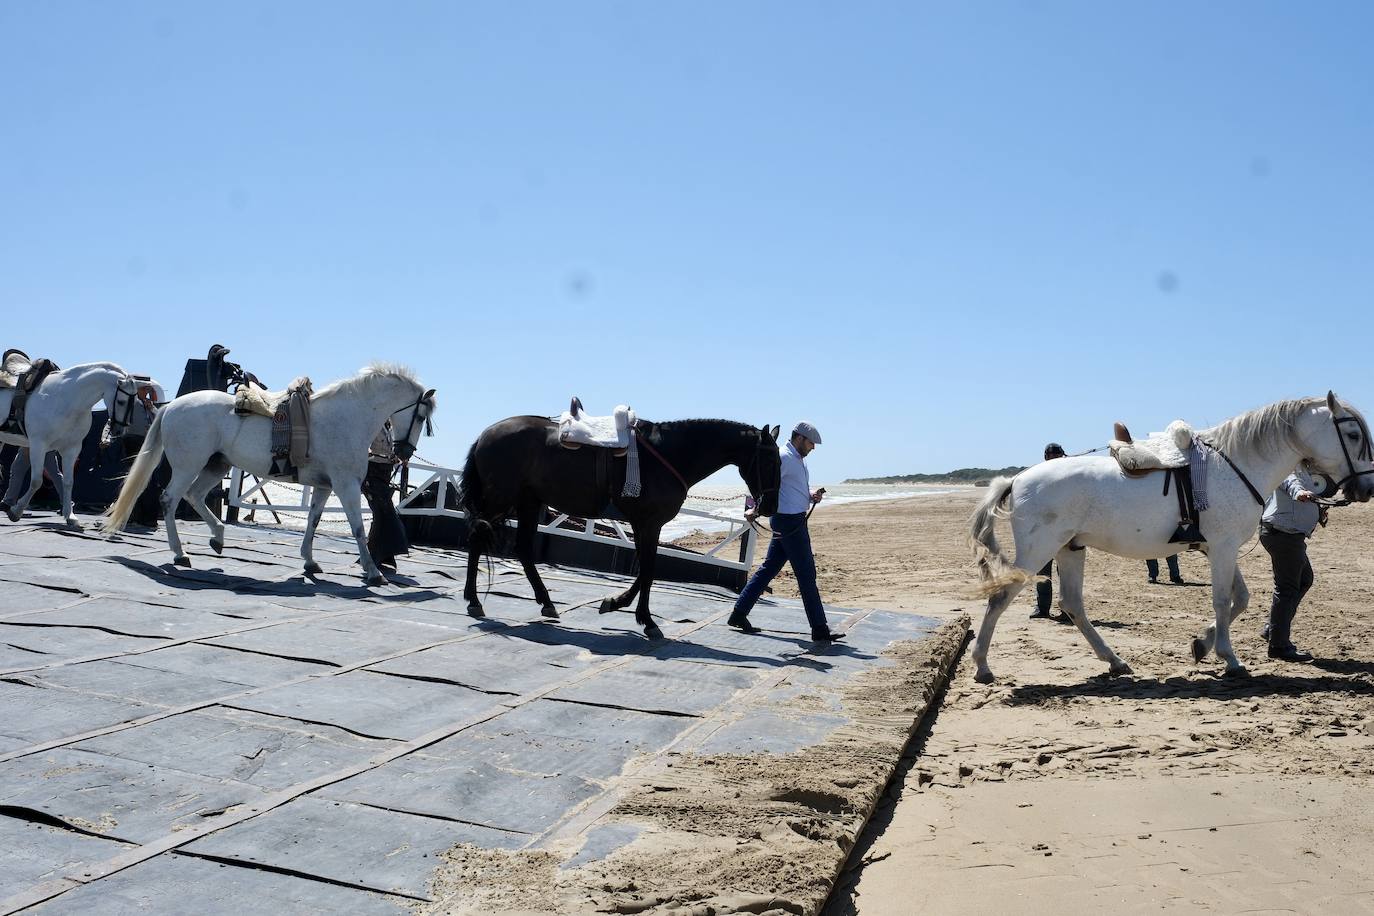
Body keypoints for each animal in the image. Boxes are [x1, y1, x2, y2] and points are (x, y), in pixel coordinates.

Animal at [0, 359, 140, 527]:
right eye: (121, 401)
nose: (119, 430)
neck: (66, 399)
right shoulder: (38, 445)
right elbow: (36, 481)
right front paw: (16, 511)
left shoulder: (71, 450)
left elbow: (67, 482)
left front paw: (70, 515)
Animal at [105, 362, 436, 585]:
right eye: (421, 416)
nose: (405, 452)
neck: (347, 417)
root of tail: (171, 406)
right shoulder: (347, 485)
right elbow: (356, 527)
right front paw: (374, 571)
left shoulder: (324, 487)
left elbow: (313, 521)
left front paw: (310, 562)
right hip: (189, 465)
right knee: (170, 500)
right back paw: (180, 553)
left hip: (216, 465)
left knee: (194, 496)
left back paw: (218, 538)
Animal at [461, 414, 780, 637]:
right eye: (769, 461)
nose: (770, 507)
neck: (668, 454)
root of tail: (486, 434)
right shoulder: (648, 524)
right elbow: (649, 571)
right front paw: (646, 620)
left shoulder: (646, 526)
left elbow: (645, 571)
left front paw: (615, 602)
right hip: (501, 501)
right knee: (478, 537)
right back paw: (474, 600)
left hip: (527, 503)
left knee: (523, 550)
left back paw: (546, 602)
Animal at [972, 390, 1368, 683]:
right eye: (1352, 435)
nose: (1366, 487)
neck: (1236, 465)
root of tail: (1017, 479)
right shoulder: (1223, 549)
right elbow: (1223, 601)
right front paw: (1230, 659)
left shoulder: (1217, 549)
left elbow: (1240, 599)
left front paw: (1202, 645)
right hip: (1039, 551)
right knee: (1001, 599)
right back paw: (982, 666)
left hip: (1071, 549)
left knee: (1073, 605)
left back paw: (1114, 661)